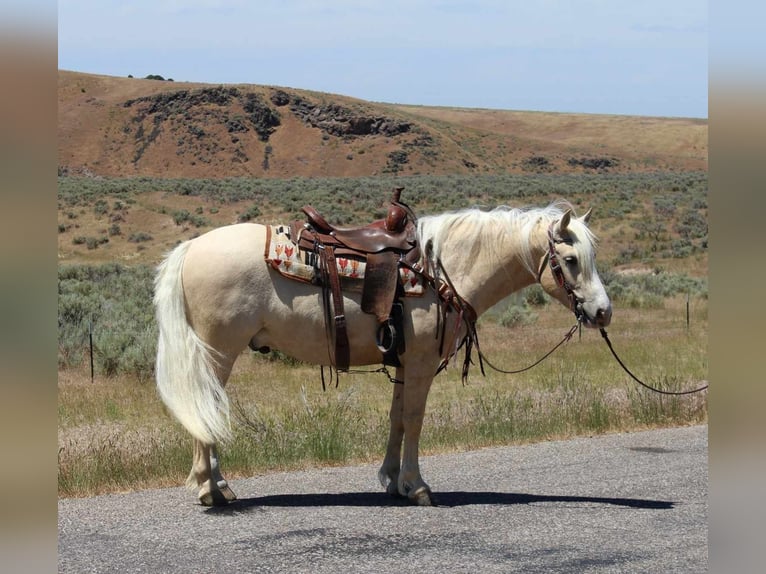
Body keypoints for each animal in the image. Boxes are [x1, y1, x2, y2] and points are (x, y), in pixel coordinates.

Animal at [154, 202, 612, 508]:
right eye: (570, 259)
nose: (602, 312)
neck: (442, 270)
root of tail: (191, 247)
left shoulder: (405, 362)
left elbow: (397, 419)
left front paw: (392, 481)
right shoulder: (423, 363)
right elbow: (415, 419)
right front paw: (417, 485)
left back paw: (219, 486)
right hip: (217, 353)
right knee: (204, 408)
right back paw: (209, 489)